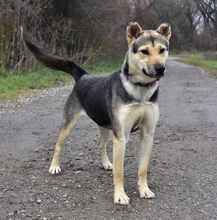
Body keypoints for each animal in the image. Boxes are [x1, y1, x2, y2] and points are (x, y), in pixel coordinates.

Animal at [24, 22, 171, 205]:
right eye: (144, 51)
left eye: (162, 50)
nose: (160, 69)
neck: (140, 89)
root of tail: (83, 76)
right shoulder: (121, 136)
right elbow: (119, 172)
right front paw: (120, 195)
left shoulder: (147, 134)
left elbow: (142, 169)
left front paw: (144, 190)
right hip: (70, 123)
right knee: (58, 145)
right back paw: (54, 166)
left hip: (106, 126)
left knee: (100, 143)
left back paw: (106, 163)